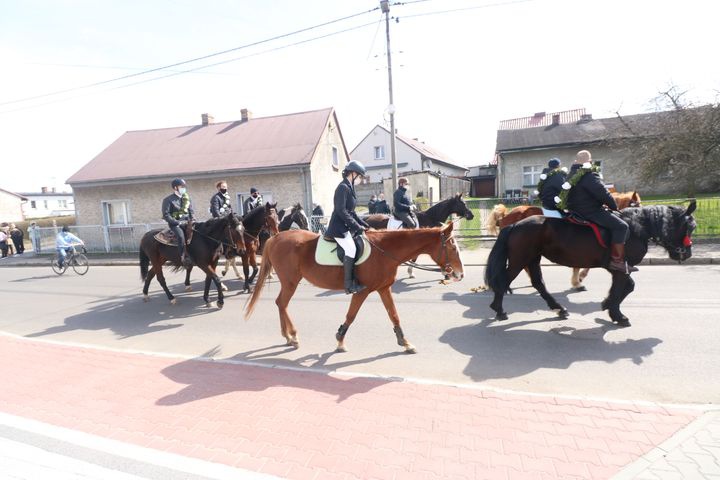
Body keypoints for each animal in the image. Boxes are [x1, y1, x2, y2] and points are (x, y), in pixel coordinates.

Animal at [245, 224, 464, 352]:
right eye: (453, 247)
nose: (459, 275)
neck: (384, 251)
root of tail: (275, 237)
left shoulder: (384, 289)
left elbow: (394, 315)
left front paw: (405, 342)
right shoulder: (362, 291)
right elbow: (351, 315)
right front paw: (340, 340)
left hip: (289, 282)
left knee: (280, 304)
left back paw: (288, 337)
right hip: (290, 281)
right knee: (282, 303)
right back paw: (293, 336)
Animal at [486, 201, 696, 328]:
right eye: (689, 227)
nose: (687, 253)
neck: (636, 227)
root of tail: (514, 224)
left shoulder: (618, 269)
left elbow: (627, 287)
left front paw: (606, 304)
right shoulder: (621, 269)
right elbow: (621, 289)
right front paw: (617, 315)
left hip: (533, 258)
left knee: (538, 283)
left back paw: (558, 308)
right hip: (520, 259)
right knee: (505, 280)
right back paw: (499, 309)